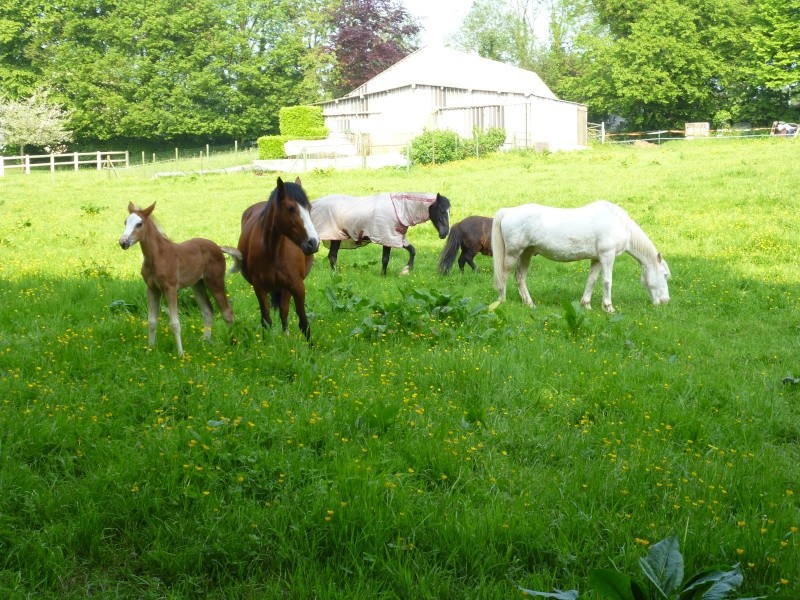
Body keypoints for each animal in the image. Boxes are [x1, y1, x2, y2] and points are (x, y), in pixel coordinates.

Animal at [227, 176, 320, 340]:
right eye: (290, 208)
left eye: (309, 208)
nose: (313, 243)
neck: (273, 252)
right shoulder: (259, 288)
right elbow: (266, 320)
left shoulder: (297, 286)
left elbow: (303, 322)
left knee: (284, 311)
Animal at [310, 192, 454, 276]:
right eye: (442, 211)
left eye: (449, 212)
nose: (444, 233)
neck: (399, 209)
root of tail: (313, 204)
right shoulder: (387, 237)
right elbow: (385, 259)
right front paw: (384, 275)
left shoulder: (396, 237)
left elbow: (412, 250)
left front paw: (406, 269)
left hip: (336, 237)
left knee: (332, 256)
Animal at [490, 202, 672, 314]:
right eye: (664, 275)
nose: (665, 301)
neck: (619, 222)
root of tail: (508, 211)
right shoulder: (607, 255)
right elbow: (607, 282)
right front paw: (608, 308)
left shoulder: (597, 259)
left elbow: (591, 281)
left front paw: (586, 305)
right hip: (513, 253)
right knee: (504, 275)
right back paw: (502, 301)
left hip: (526, 253)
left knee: (520, 276)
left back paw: (530, 303)